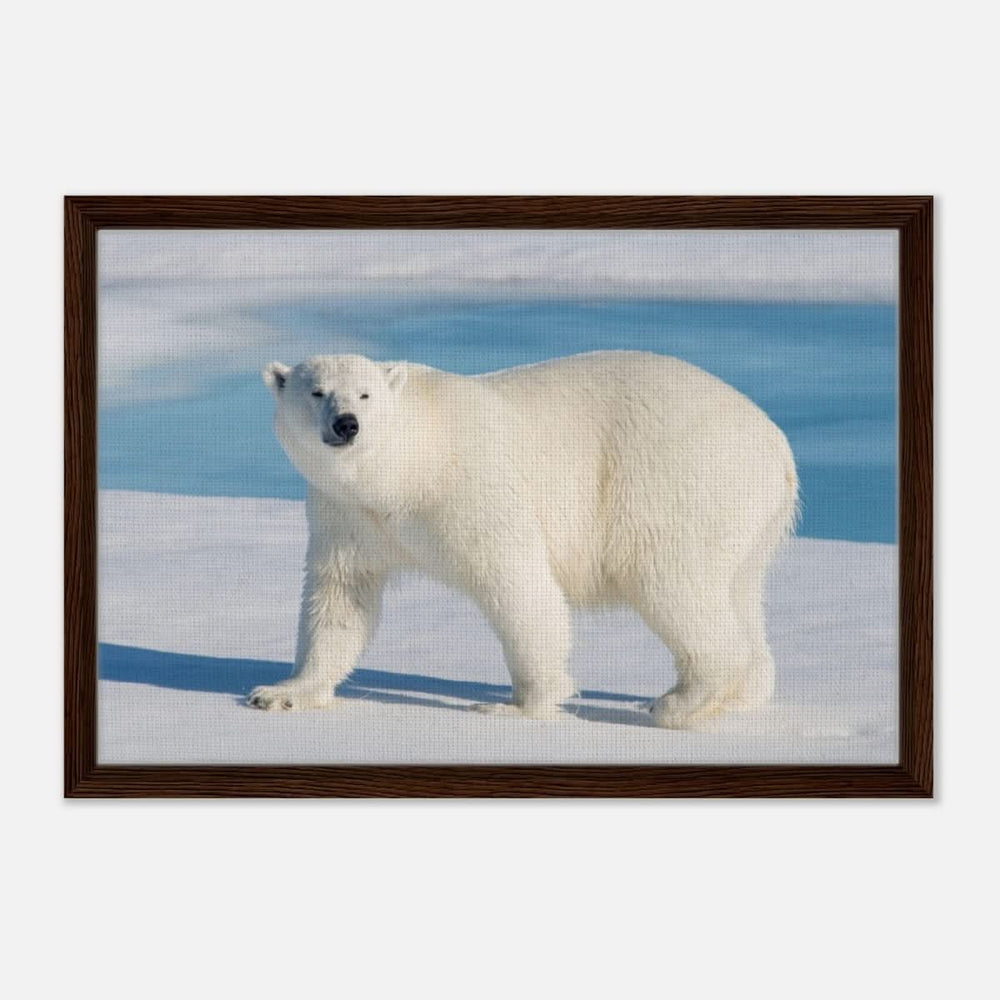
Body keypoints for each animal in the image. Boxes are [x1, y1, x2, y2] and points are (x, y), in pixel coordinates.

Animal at [248, 351, 799, 729]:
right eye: (316, 392)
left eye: (365, 394)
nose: (347, 424)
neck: (405, 467)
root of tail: (776, 443)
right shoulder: (347, 513)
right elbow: (341, 597)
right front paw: (281, 692)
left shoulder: (469, 489)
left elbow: (517, 585)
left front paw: (517, 706)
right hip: (748, 520)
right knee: (738, 591)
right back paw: (740, 694)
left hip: (674, 481)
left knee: (670, 581)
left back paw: (677, 701)